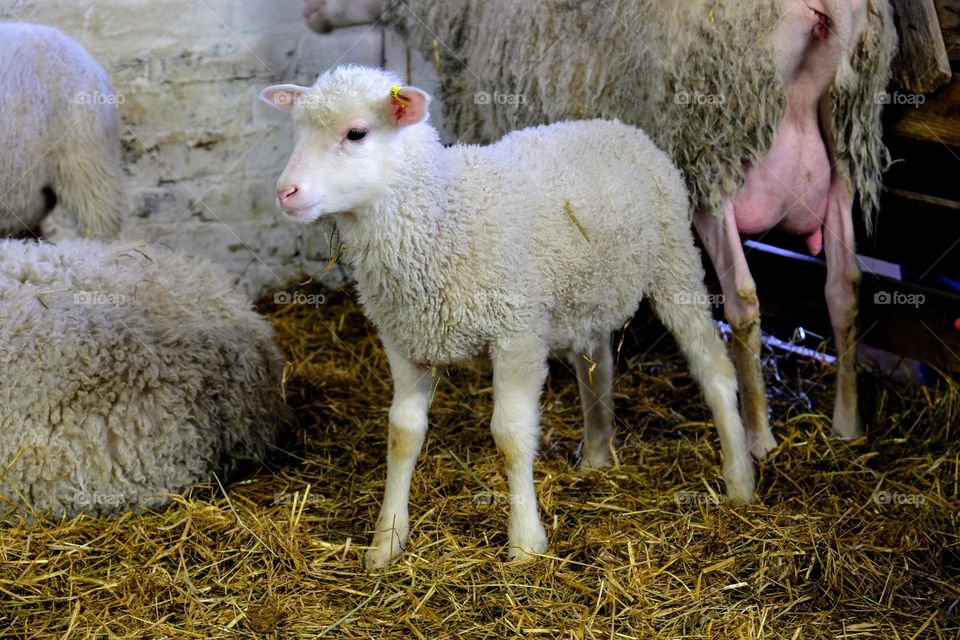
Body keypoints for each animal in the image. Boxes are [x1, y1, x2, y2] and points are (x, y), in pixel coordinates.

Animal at [262, 63, 756, 564]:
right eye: (297, 131)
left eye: (357, 133)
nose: (285, 193)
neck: (443, 215)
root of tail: (617, 127)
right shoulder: (403, 340)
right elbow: (403, 433)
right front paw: (387, 542)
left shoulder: (516, 335)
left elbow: (511, 435)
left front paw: (525, 543)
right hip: (586, 292)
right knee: (598, 363)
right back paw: (597, 456)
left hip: (674, 262)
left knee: (713, 367)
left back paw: (740, 479)